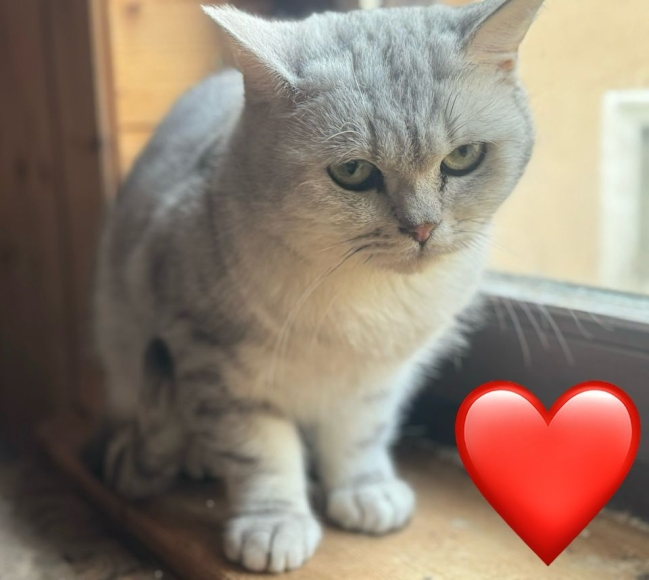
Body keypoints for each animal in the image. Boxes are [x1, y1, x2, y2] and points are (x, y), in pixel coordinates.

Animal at [93, 0, 544, 573]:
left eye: (463, 158)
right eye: (352, 171)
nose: (422, 228)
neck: (362, 295)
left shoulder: (376, 375)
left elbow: (360, 434)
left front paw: (365, 490)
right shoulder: (216, 366)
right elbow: (261, 454)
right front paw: (274, 523)